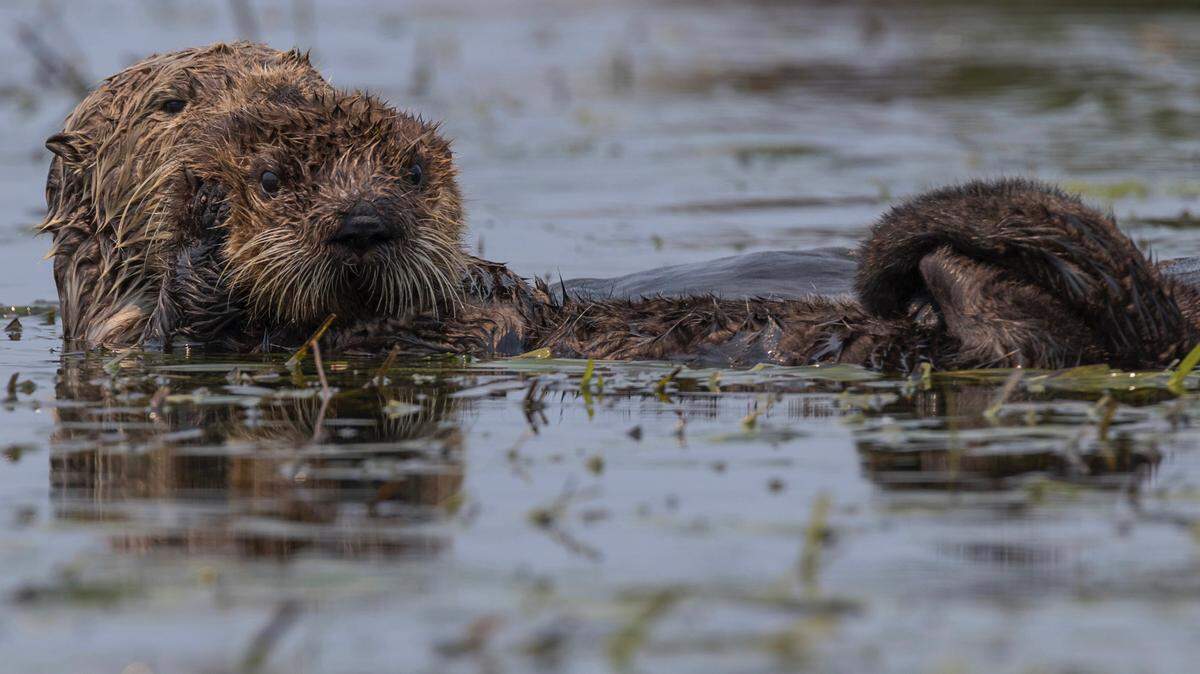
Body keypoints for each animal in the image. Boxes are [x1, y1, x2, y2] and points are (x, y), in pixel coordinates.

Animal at [40, 43, 1200, 372]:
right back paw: (946, 281)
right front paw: (202, 239)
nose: (367, 221)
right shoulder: (125, 339)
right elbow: (179, 329)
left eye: (303, 78)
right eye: (174, 101)